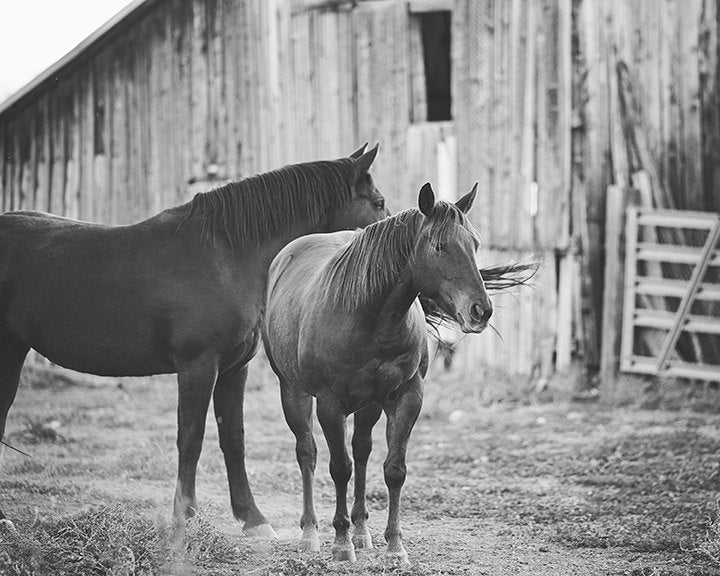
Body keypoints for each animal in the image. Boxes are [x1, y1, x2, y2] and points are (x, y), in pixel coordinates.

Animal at [0, 143, 388, 536]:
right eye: (378, 203)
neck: (227, 258)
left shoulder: (233, 369)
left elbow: (233, 438)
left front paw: (253, 518)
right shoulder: (197, 367)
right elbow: (191, 438)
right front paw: (185, 516)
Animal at [264, 182, 496, 564]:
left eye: (474, 244)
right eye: (439, 245)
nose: (481, 310)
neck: (369, 317)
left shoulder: (407, 397)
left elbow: (393, 469)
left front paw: (394, 546)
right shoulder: (330, 404)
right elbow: (338, 467)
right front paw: (340, 543)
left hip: (370, 404)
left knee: (361, 451)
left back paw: (361, 530)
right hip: (293, 392)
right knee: (307, 453)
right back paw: (311, 532)